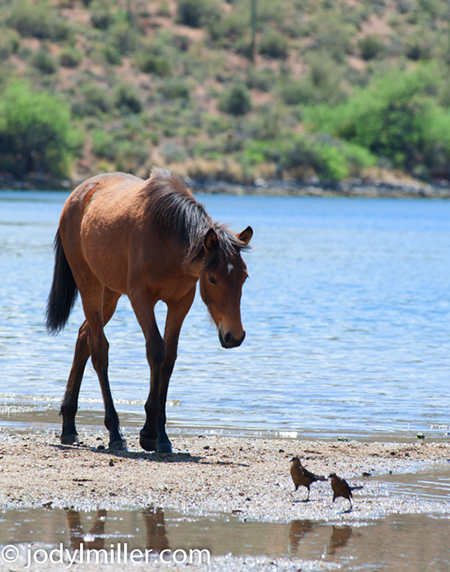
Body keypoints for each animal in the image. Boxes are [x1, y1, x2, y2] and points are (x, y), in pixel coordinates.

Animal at [47, 168, 255, 454]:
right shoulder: (141, 298)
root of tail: (78, 194)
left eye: (244, 277)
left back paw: (69, 425)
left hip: (110, 291)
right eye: (212, 279)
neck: (168, 239)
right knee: (99, 348)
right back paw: (114, 432)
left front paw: (159, 435)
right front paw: (149, 433)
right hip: (89, 283)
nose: (235, 336)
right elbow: (156, 351)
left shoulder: (181, 302)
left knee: (83, 336)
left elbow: (169, 358)